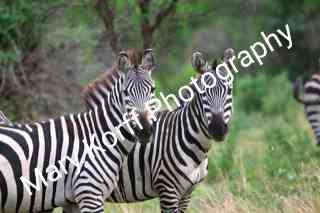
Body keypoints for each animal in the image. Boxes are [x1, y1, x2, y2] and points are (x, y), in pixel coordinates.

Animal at [0, 49, 158, 212]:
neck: (99, 137)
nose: (145, 130)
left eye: (153, 90)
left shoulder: (72, 201)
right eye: (125, 92)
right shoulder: (90, 193)